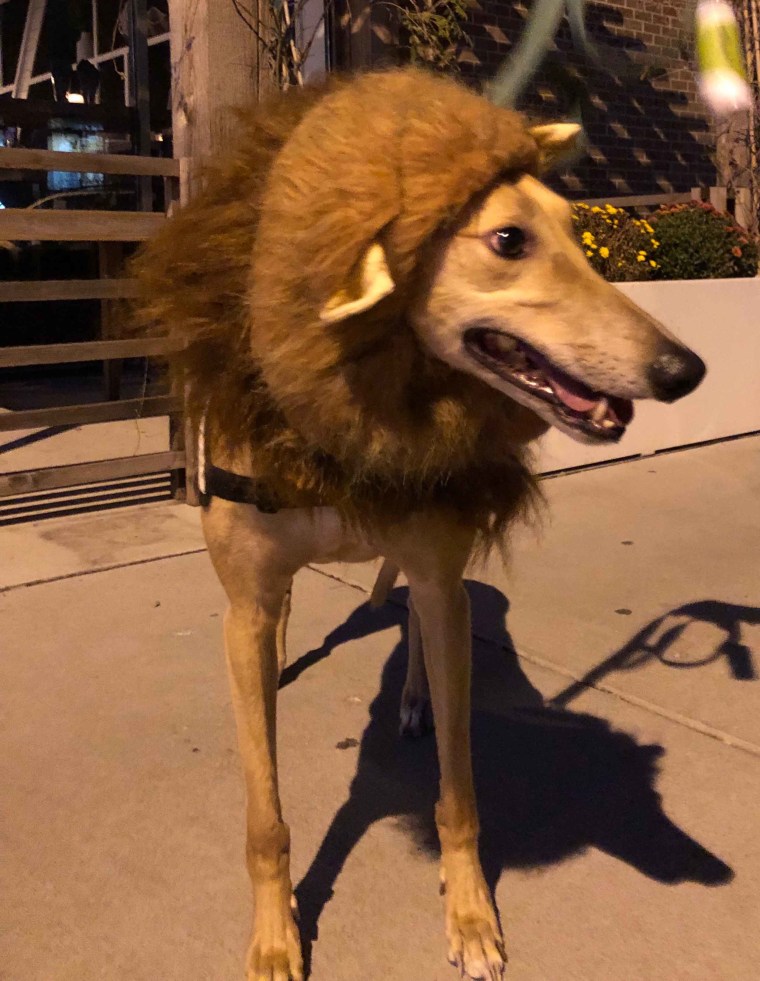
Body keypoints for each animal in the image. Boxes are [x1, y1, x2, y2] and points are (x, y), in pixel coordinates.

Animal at [132, 71, 708, 980]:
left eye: (577, 231)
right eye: (507, 238)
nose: (684, 370)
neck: (345, 428)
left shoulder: (441, 581)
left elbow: (458, 788)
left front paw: (470, 915)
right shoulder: (248, 597)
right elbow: (265, 814)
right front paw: (274, 936)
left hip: (445, 586)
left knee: (416, 628)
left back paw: (411, 699)